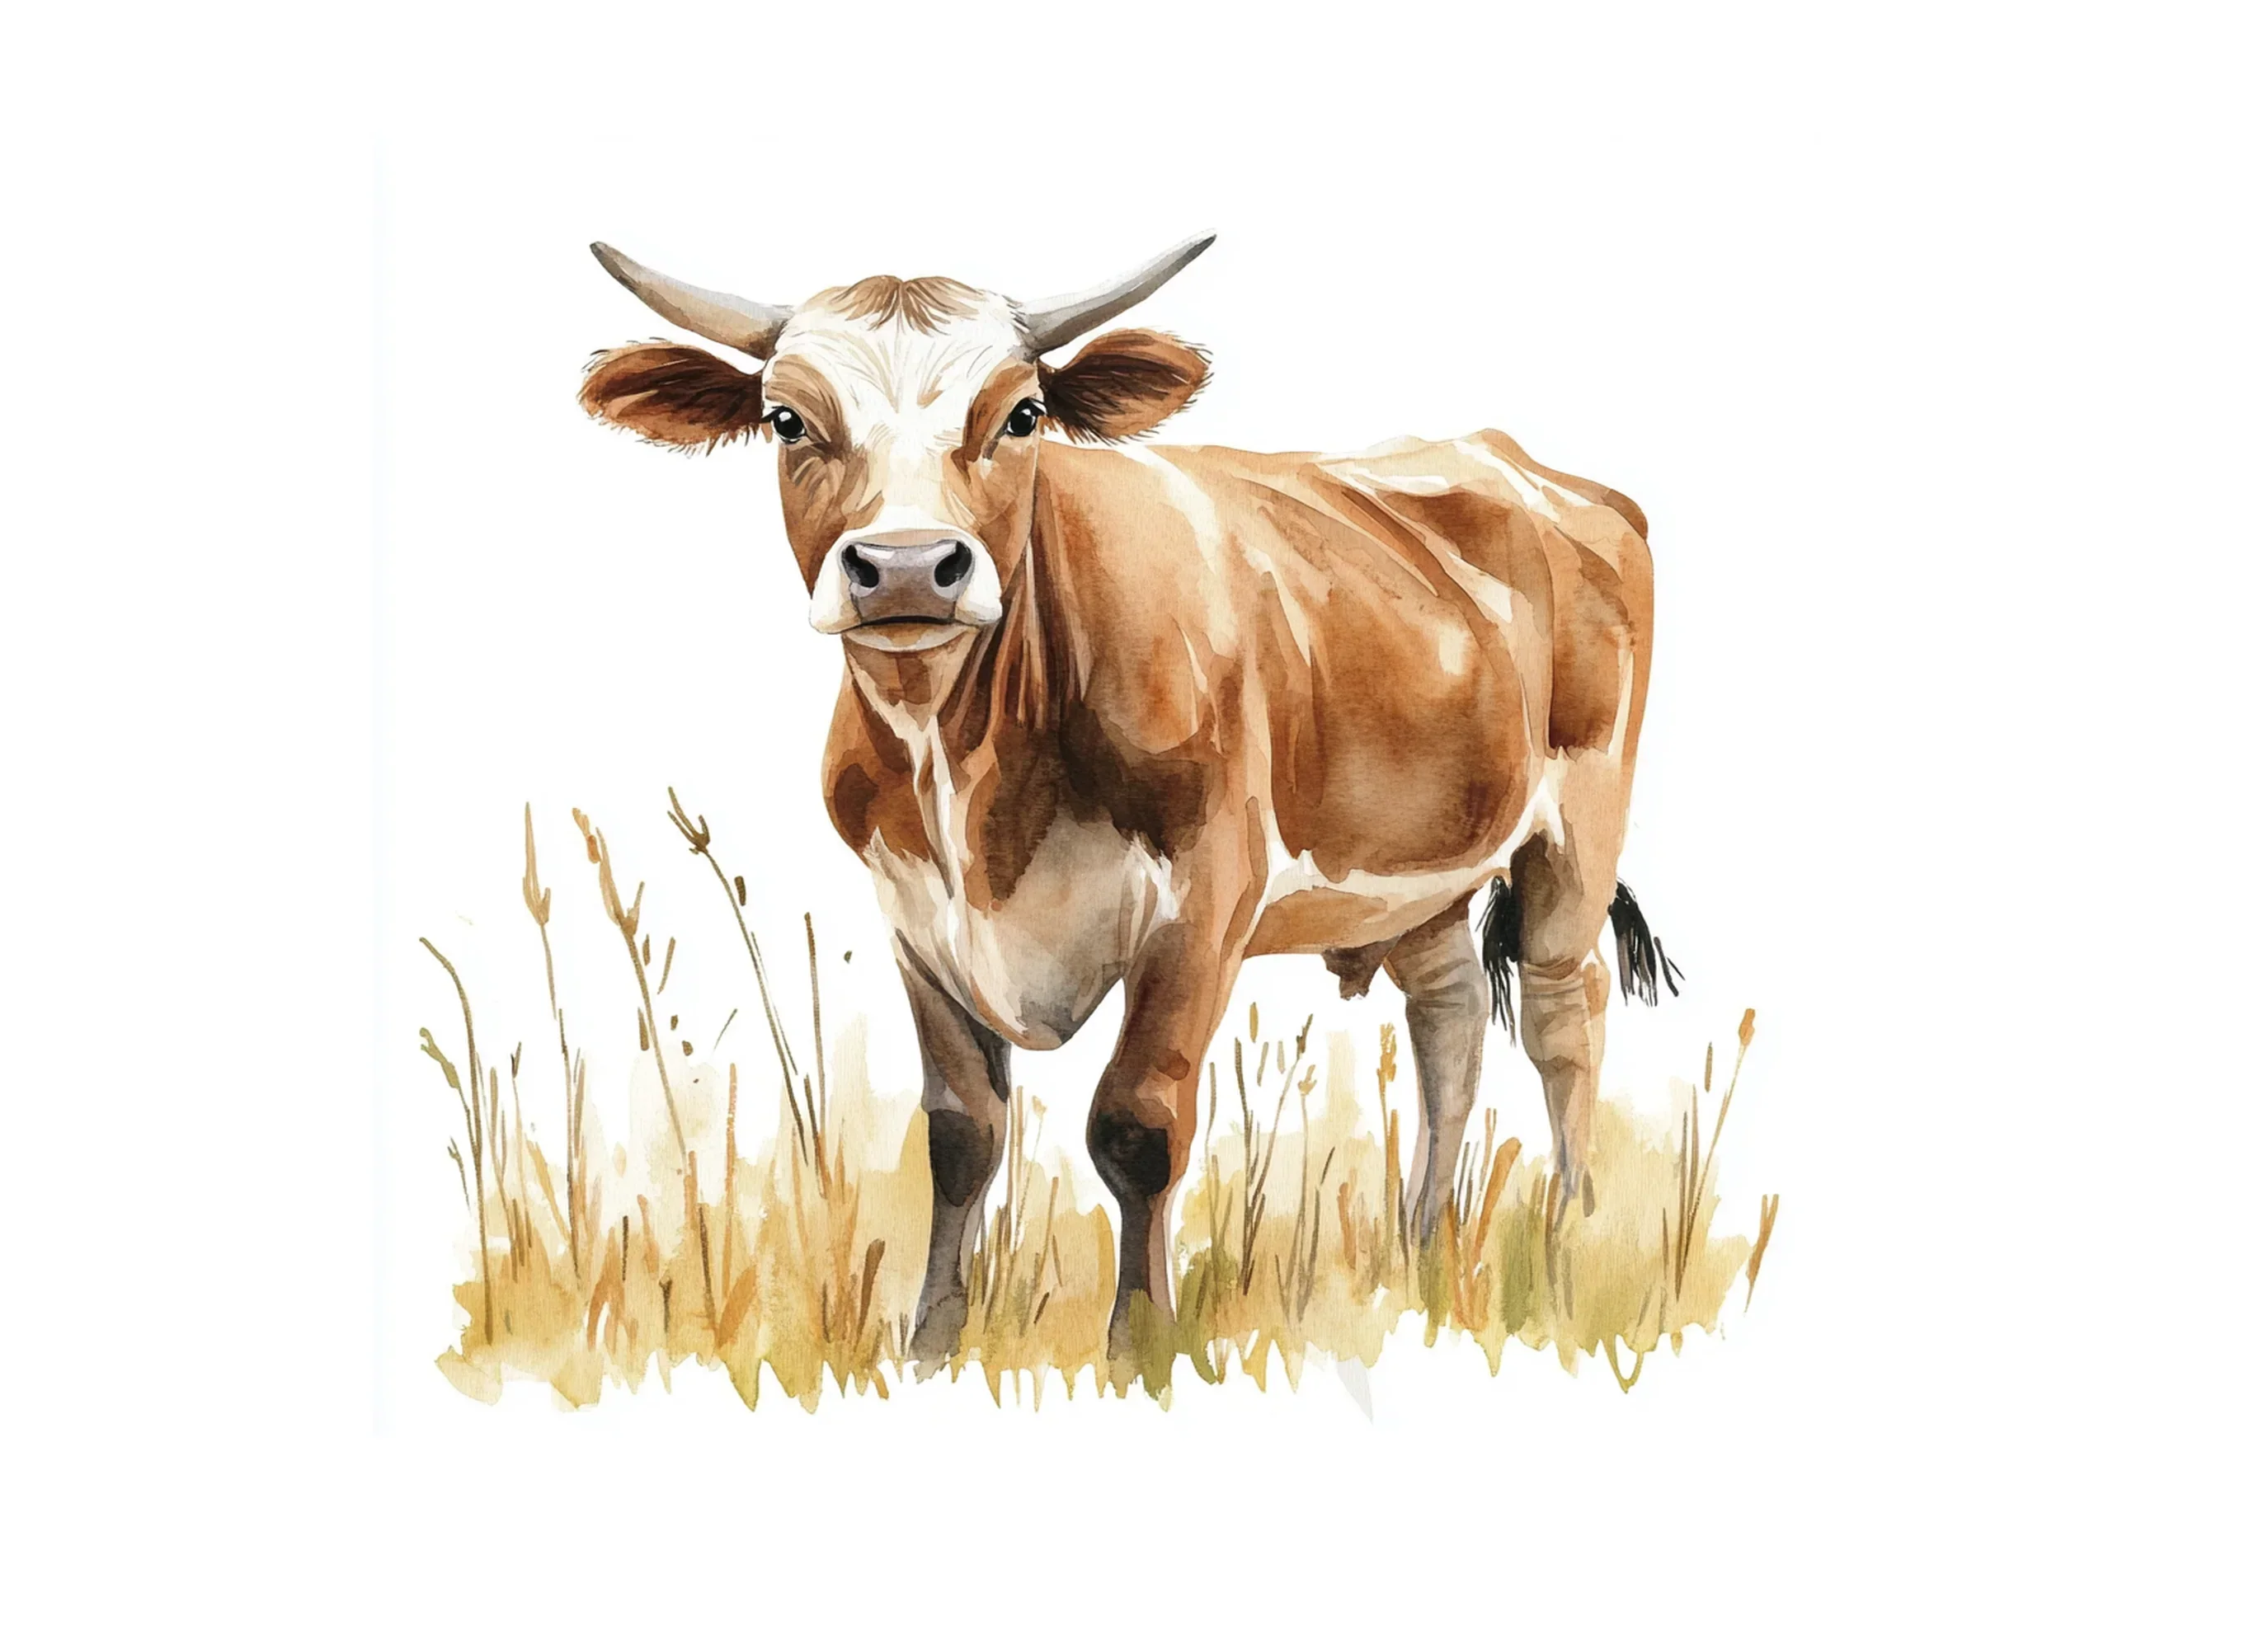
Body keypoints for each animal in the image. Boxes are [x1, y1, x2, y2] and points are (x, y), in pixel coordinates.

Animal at [580, 234, 1676, 1360]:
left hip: (1578, 823)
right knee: (1447, 1023)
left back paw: (1564, 1239)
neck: (971, 771)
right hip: (1415, 864)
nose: (906, 569)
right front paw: (931, 1342)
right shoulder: (916, 919)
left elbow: (1137, 1125)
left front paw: (1138, 1344)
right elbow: (960, 1131)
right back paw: (1417, 1249)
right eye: (788, 419)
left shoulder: (1203, 901)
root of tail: (1517, 463)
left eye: (1020, 414)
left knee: (1559, 1010)